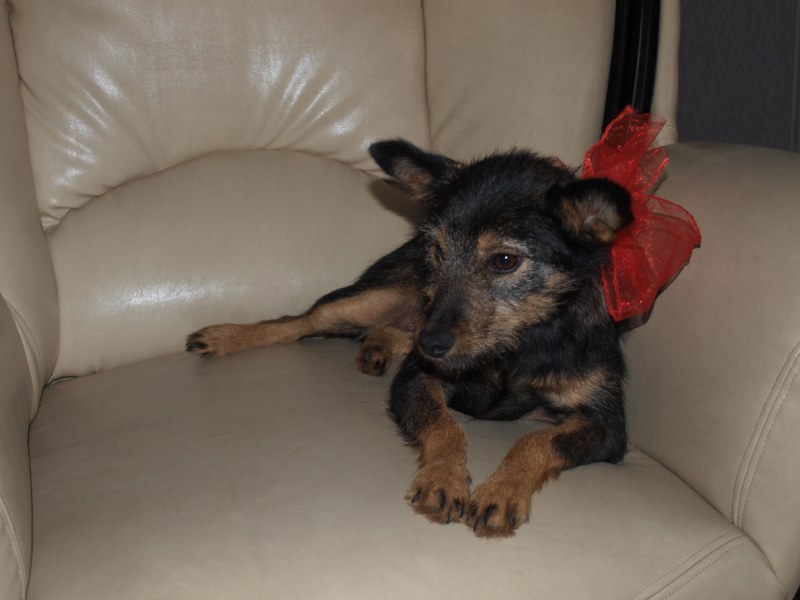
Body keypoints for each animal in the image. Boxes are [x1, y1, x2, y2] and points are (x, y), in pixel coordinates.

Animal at [186, 139, 633, 537]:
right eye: (437, 250)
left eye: (505, 260)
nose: (432, 343)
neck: (513, 347)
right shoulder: (417, 377)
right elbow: (446, 426)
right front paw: (444, 478)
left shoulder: (607, 427)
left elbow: (537, 439)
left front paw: (502, 490)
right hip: (374, 298)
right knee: (299, 320)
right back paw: (224, 336)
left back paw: (379, 347)